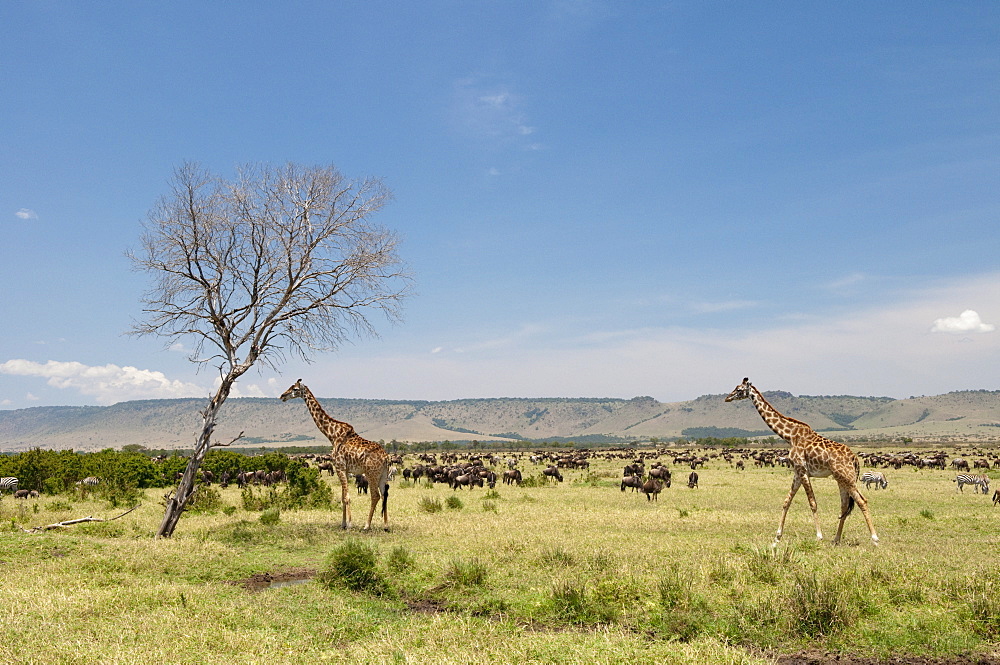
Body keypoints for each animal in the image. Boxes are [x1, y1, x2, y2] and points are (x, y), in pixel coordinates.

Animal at [284, 378, 392, 528]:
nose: (282, 396)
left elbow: (346, 497)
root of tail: (386, 457)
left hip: (371, 473)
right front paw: (343, 524)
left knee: (375, 495)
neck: (332, 435)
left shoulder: (339, 467)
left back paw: (366, 525)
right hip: (382, 474)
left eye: (294, 389)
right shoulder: (345, 470)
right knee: (384, 495)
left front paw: (350, 524)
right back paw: (386, 526)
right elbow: (342, 497)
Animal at [728, 378, 876, 544]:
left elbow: (812, 503)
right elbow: (787, 501)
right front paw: (777, 537)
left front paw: (819, 536)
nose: (727, 398)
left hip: (847, 478)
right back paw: (836, 539)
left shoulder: (803, 471)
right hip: (841, 479)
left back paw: (874, 538)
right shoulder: (797, 473)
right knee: (844, 506)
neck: (790, 436)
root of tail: (855, 458)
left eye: (739, 389)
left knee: (862, 501)